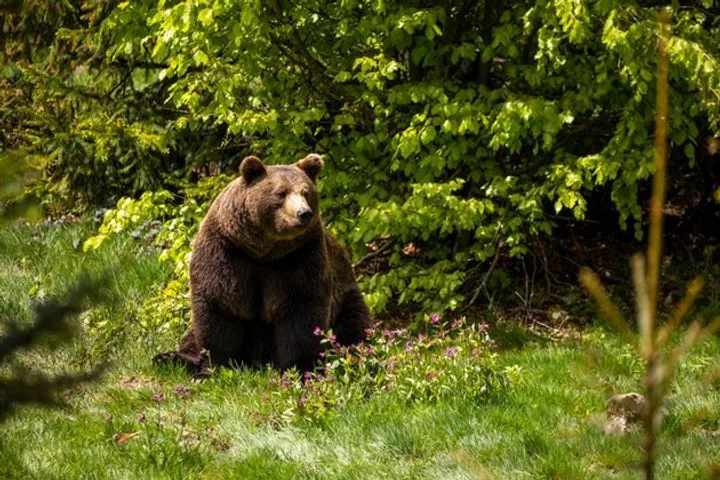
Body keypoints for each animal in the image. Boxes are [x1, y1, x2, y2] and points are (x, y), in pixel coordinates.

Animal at [154, 153, 371, 375]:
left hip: (346, 292)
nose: (304, 213)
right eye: (281, 193)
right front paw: (219, 365)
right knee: (190, 337)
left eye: (306, 192)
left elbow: (302, 308)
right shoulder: (227, 252)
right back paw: (171, 358)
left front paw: (301, 368)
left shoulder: (299, 256)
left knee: (354, 324)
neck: (264, 252)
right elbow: (220, 304)